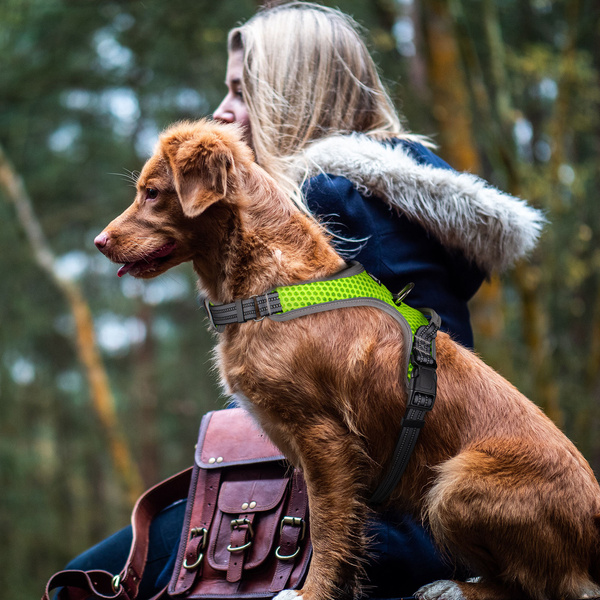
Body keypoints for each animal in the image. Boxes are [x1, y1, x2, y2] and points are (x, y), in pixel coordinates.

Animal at [96, 119, 600, 600]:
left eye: (152, 193)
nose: (99, 241)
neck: (269, 286)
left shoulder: (324, 439)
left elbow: (324, 532)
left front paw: (308, 594)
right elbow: (346, 540)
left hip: (453, 485)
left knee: (544, 587)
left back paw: (455, 588)